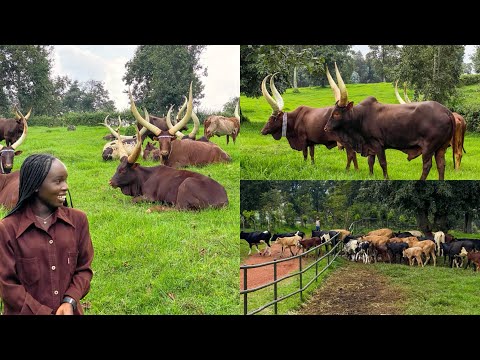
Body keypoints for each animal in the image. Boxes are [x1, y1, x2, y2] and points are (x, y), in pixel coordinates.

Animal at [324, 63, 456, 181]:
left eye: (336, 113)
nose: (325, 128)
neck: (361, 117)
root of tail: (447, 112)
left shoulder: (377, 143)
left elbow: (383, 162)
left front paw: (386, 178)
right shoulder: (369, 145)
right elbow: (370, 161)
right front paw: (371, 175)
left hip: (429, 147)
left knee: (427, 166)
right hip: (441, 147)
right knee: (441, 165)